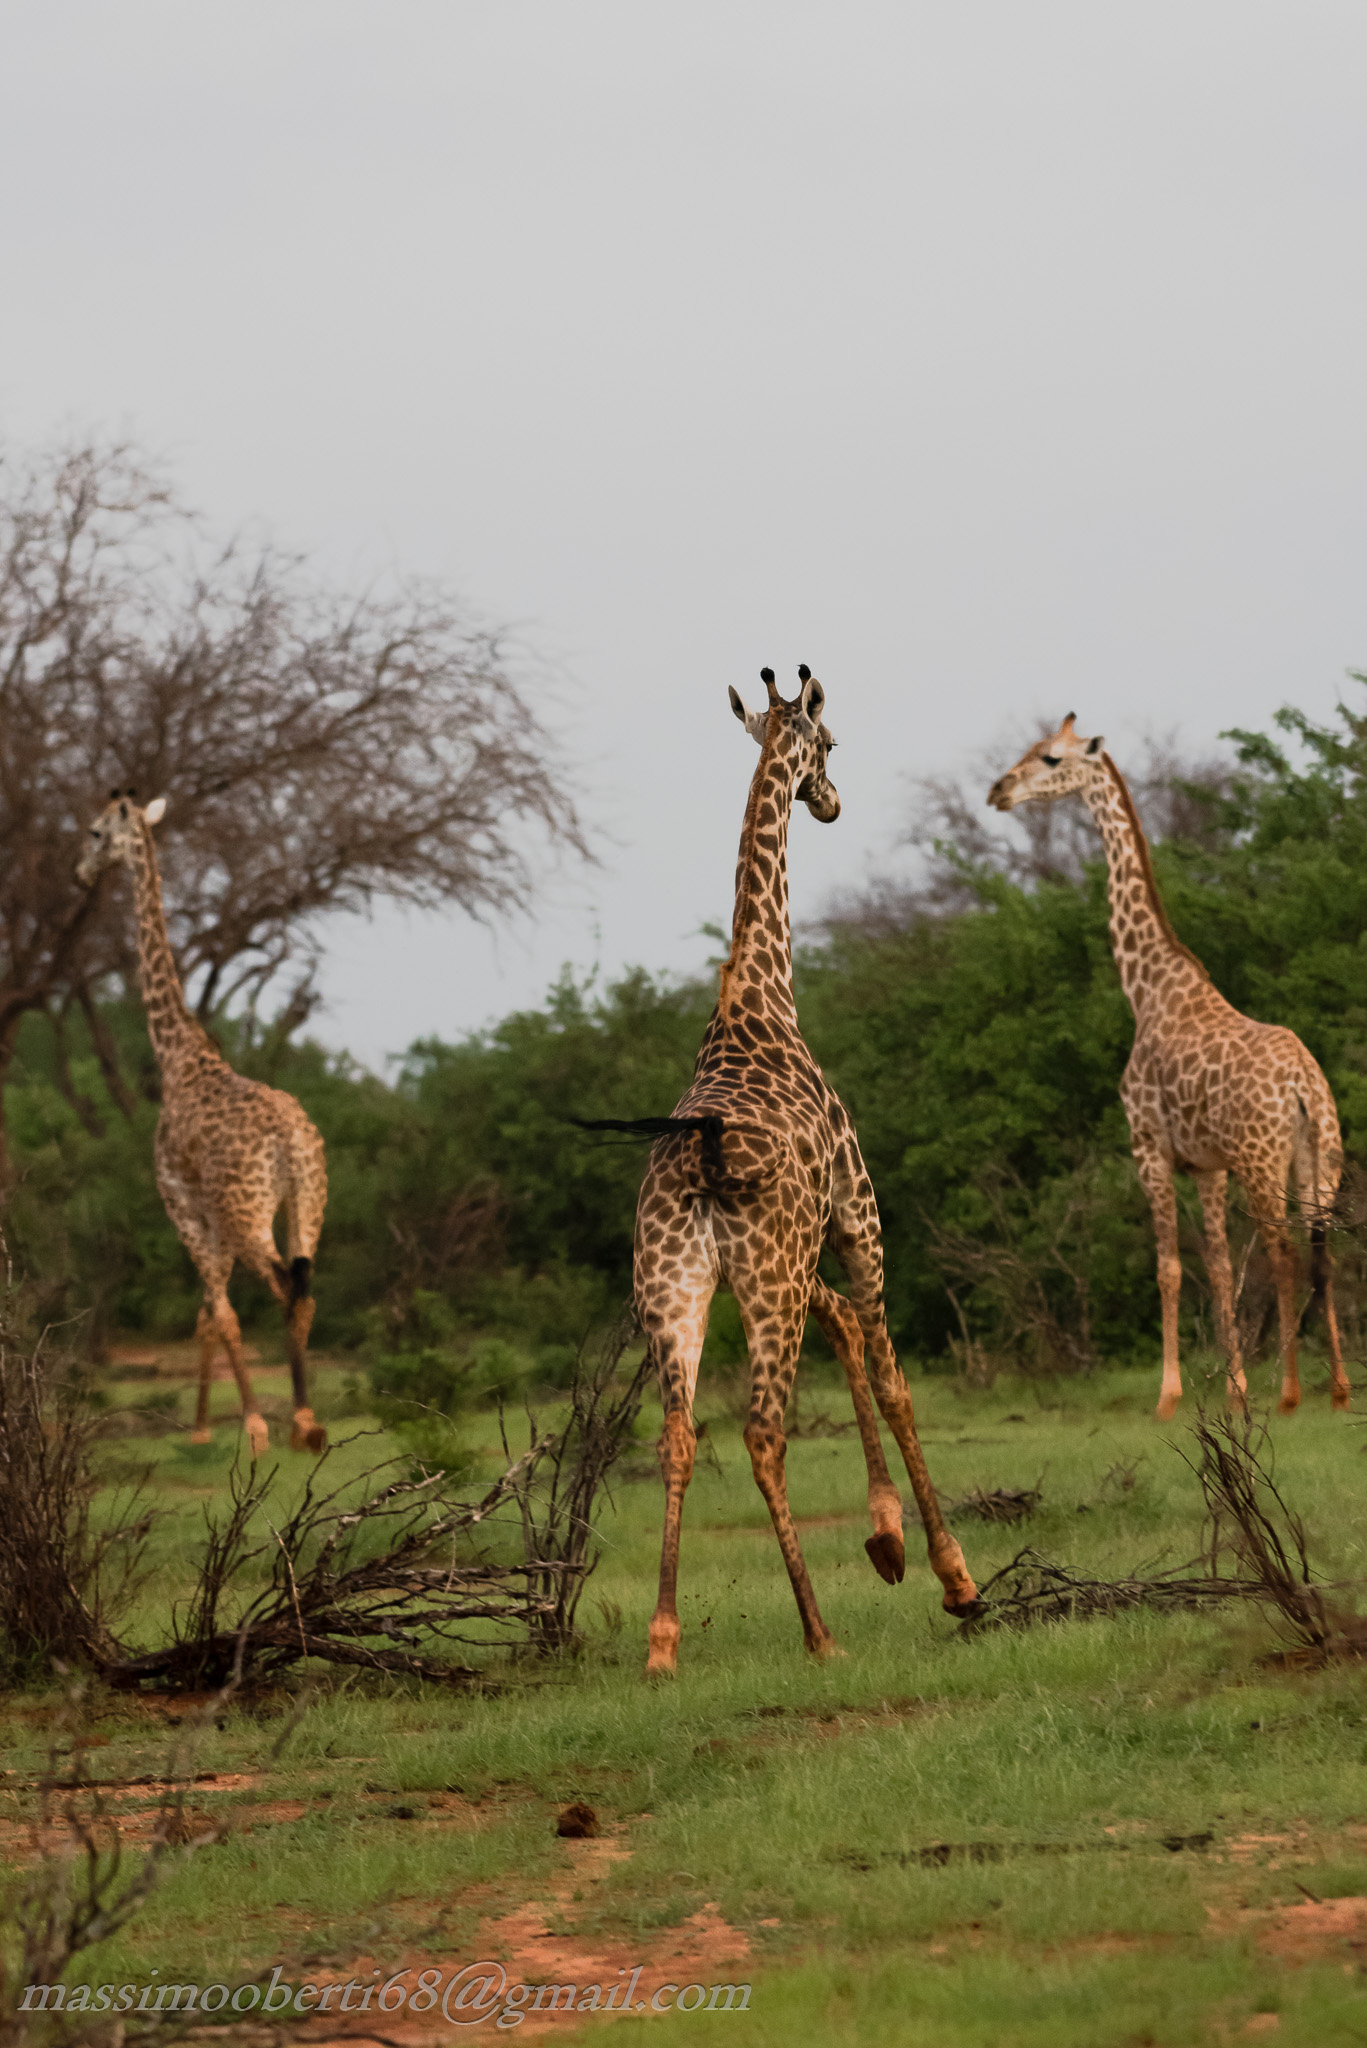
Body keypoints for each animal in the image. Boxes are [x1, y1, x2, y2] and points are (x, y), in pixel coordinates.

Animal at [76, 791, 328, 1457]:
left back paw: (296, 1421)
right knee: (305, 1290)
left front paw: (248, 1424)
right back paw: (307, 1420)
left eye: (94, 832)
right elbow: (207, 1317)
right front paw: (199, 1427)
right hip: (307, 1204)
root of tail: (290, 1140)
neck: (178, 1056)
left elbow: (220, 1314)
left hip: (248, 1211)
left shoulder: (184, 1206)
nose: (80, 873)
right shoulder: (212, 1217)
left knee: (282, 1286)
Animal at [587, 668, 978, 1675]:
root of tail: (702, 1162)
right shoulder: (855, 1214)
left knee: (678, 1435)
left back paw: (662, 1642)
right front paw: (951, 1575)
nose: (832, 801)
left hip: (679, 1287)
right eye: (829, 741)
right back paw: (819, 1632)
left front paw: (886, 1541)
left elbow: (850, 1338)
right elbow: (896, 1377)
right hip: (768, 1274)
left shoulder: (797, 1264)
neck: (762, 999)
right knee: (764, 1430)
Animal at [988, 716, 1349, 1420]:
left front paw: (1168, 1395)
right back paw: (1341, 1388)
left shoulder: (1149, 1145)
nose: (999, 791)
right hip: (1320, 1157)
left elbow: (1170, 1267)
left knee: (1283, 1250)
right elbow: (1217, 1264)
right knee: (1324, 1249)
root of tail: (1303, 1086)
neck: (1146, 986)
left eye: (1050, 758)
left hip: (1262, 1162)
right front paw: (1234, 1388)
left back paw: (1292, 1393)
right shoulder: (1206, 1165)